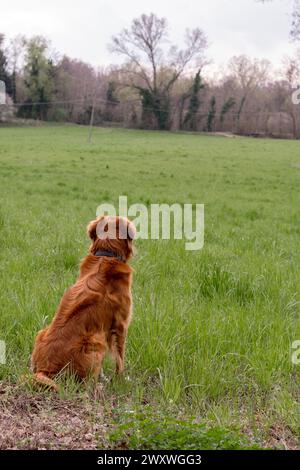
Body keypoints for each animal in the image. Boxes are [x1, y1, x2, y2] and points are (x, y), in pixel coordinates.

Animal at [30, 215, 136, 392]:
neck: (107, 254)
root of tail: (45, 369)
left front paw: (106, 377)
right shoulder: (120, 325)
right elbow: (120, 358)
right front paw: (121, 380)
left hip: (42, 332)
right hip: (95, 340)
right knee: (86, 383)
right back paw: (98, 386)